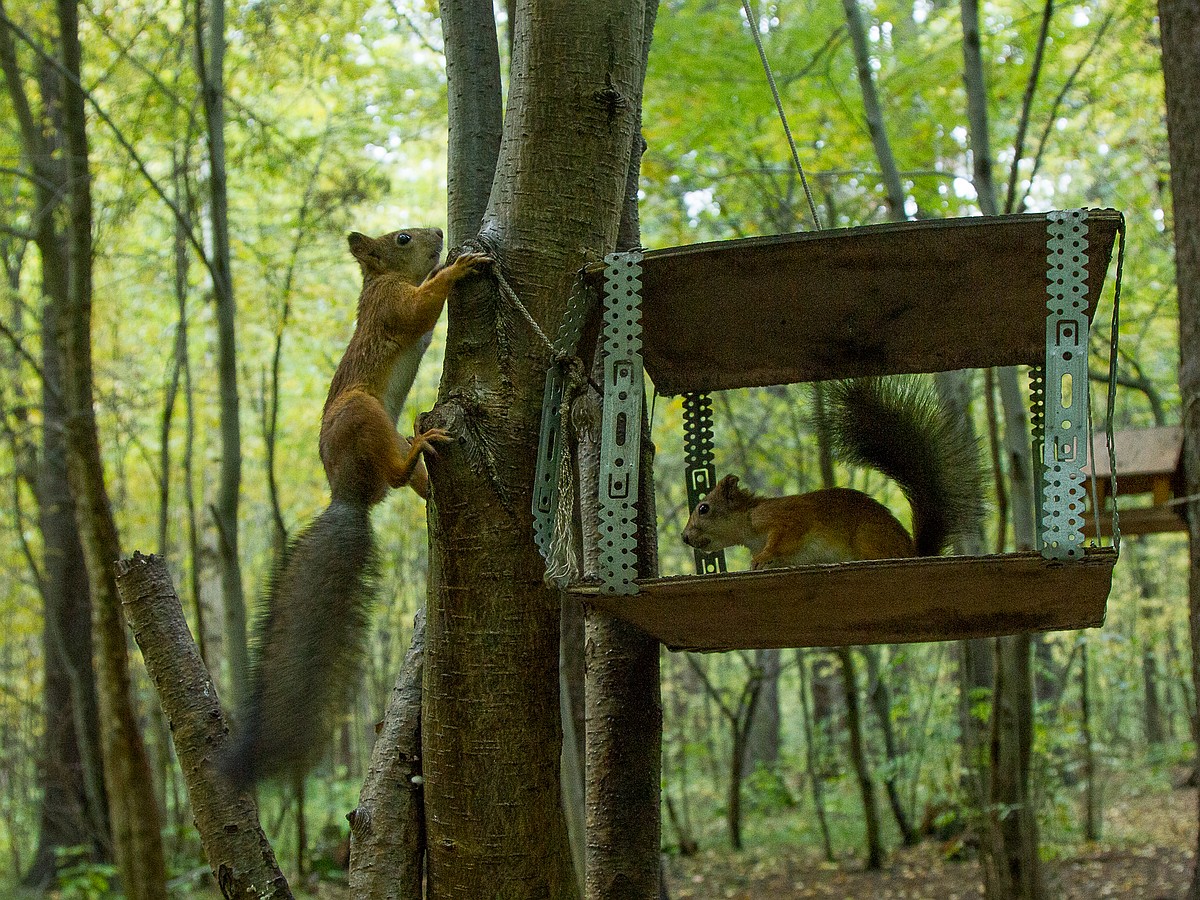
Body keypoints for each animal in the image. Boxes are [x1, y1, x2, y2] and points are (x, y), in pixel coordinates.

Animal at [223, 226, 489, 787]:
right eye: (403, 238)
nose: (438, 232)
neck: (381, 279)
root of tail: (346, 495)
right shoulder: (388, 306)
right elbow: (417, 313)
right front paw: (454, 269)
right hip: (362, 411)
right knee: (392, 475)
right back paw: (418, 448)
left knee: (401, 481)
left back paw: (423, 468)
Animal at [686, 376, 984, 566]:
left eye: (704, 508)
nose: (685, 537)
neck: (747, 522)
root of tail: (912, 553)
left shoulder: (783, 518)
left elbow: (784, 536)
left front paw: (761, 557)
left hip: (868, 537)